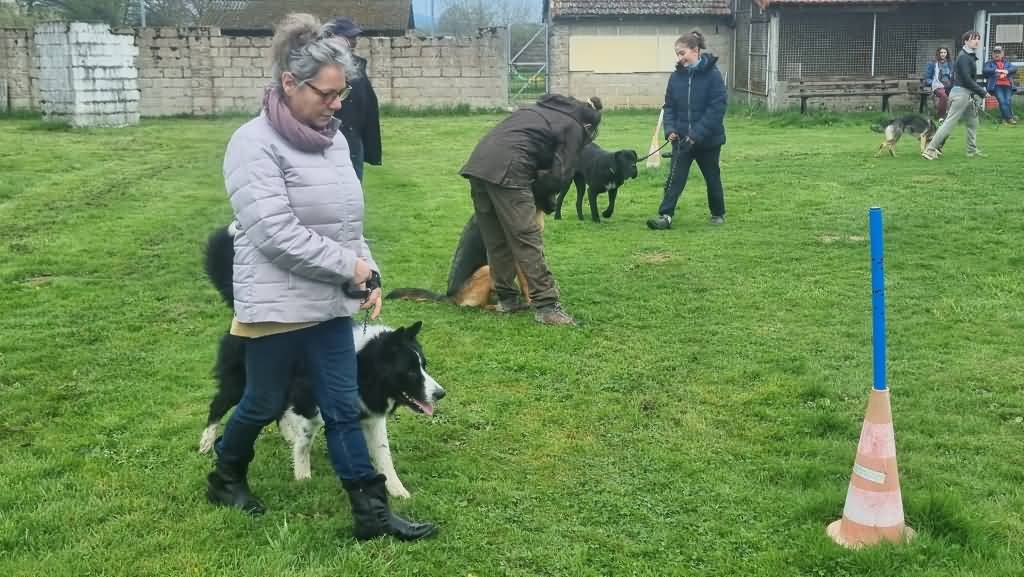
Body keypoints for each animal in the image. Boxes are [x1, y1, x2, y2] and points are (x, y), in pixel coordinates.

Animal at [198, 225, 445, 498]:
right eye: (410, 372)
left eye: (424, 366)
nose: (440, 394)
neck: (364, 367)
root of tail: (240, 312)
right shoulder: (309, 401)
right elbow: (305, 442)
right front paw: (302, 476)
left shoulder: (371, 416)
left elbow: (383, 455)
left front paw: (396, 489)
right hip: (245, 382)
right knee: (218, 405)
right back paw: (207, 442)